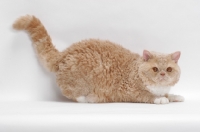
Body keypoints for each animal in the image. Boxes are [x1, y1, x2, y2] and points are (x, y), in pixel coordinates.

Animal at [12, 15, 184, 104]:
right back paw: (86, 98)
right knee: (69, 91)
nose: (162, 75)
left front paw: (174, 96)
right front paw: (160, 99)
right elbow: (148, 96)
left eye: (169, 69)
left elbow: (168, 94)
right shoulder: (130, 91)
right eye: (155, 69)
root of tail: (65, 53)